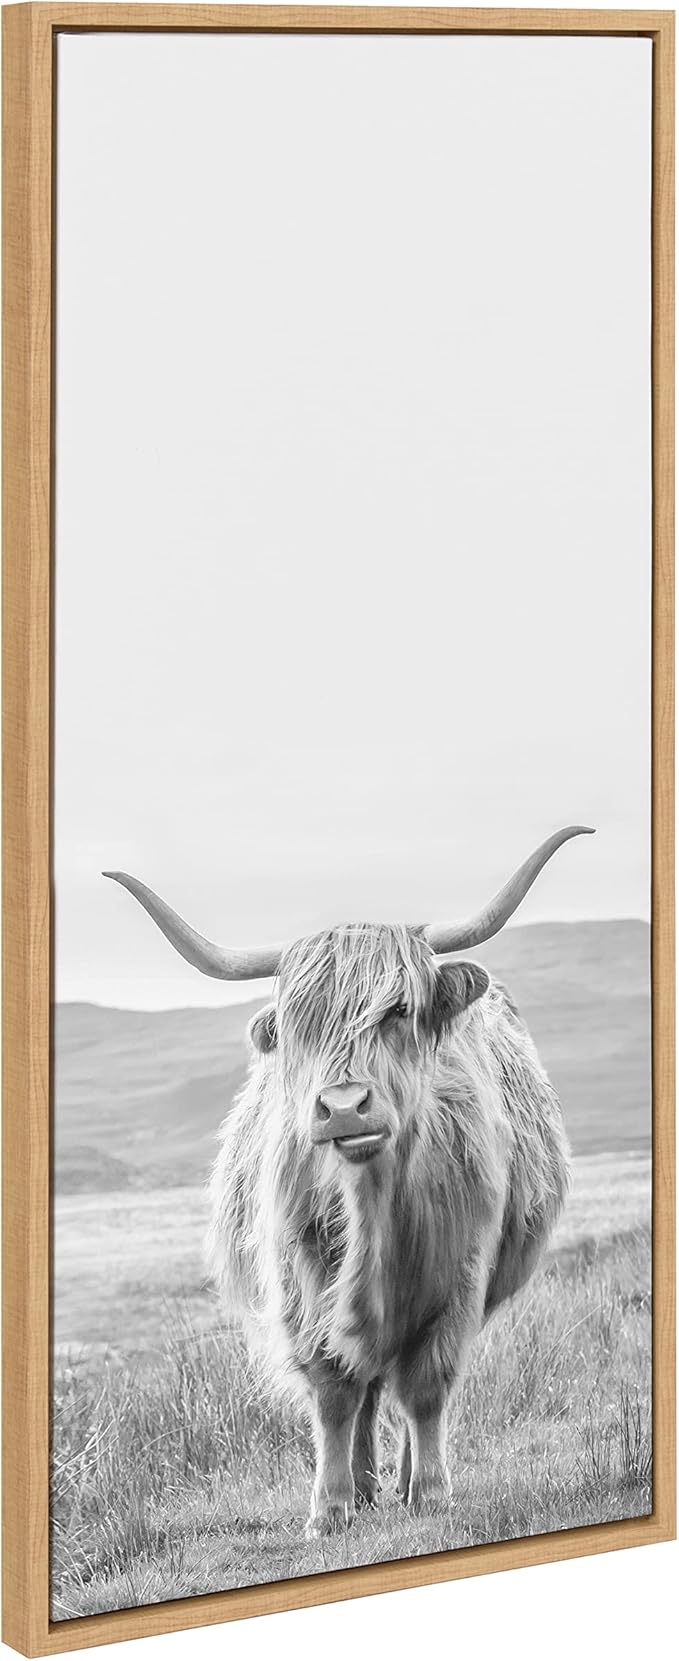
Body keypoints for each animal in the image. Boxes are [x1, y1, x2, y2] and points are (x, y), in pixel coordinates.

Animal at [104, 824, 591, 1535]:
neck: (373, 1212)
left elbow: (426, 1385)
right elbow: (334, 1386)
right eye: (297, 1026)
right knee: (364, 1387)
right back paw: (362, 1484)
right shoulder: (300, 1277)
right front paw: (329, 1508)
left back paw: (405, 1478)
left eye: (398, 1011)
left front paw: (431, 1494)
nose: (341, 1108)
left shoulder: (461, 1275)